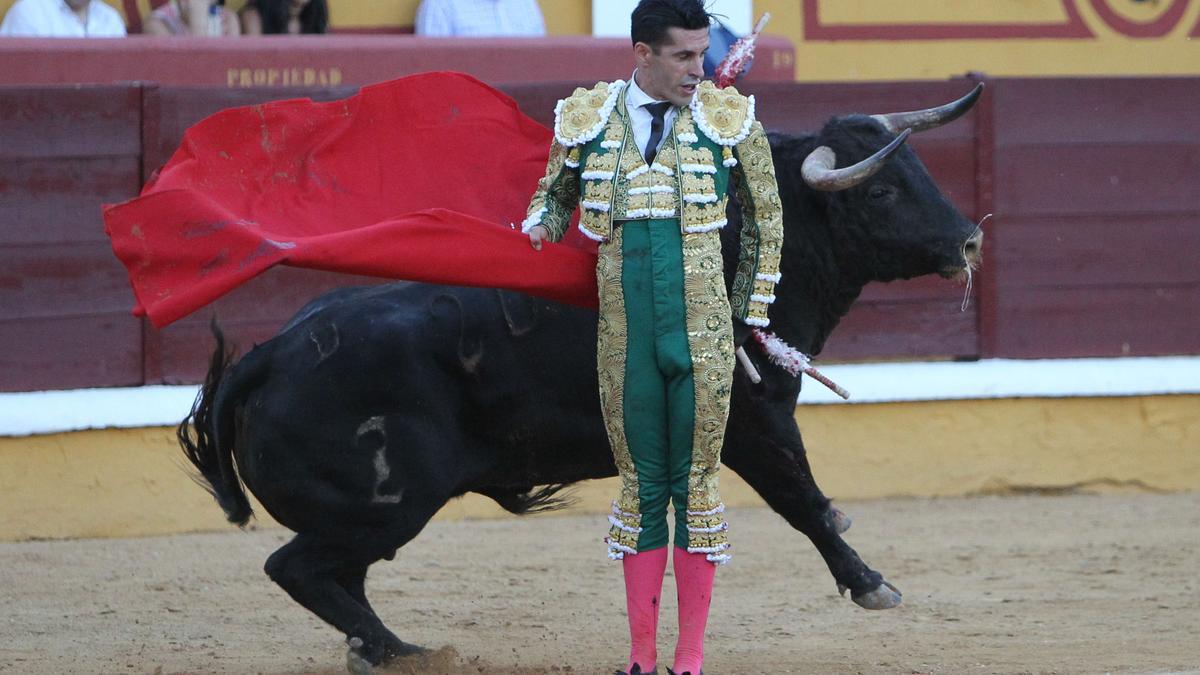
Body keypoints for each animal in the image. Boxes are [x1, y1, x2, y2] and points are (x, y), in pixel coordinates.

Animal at [177, 82, 984, 662]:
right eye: (881, 190)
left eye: (919, 170)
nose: (969, 239)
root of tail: (271, 351)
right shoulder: (755, 424)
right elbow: (806, 501)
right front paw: (873, 584)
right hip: (384, 503)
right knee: (299, 568)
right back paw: (403, 652)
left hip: (368, 513)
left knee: (333, 575)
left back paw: (387, 649)